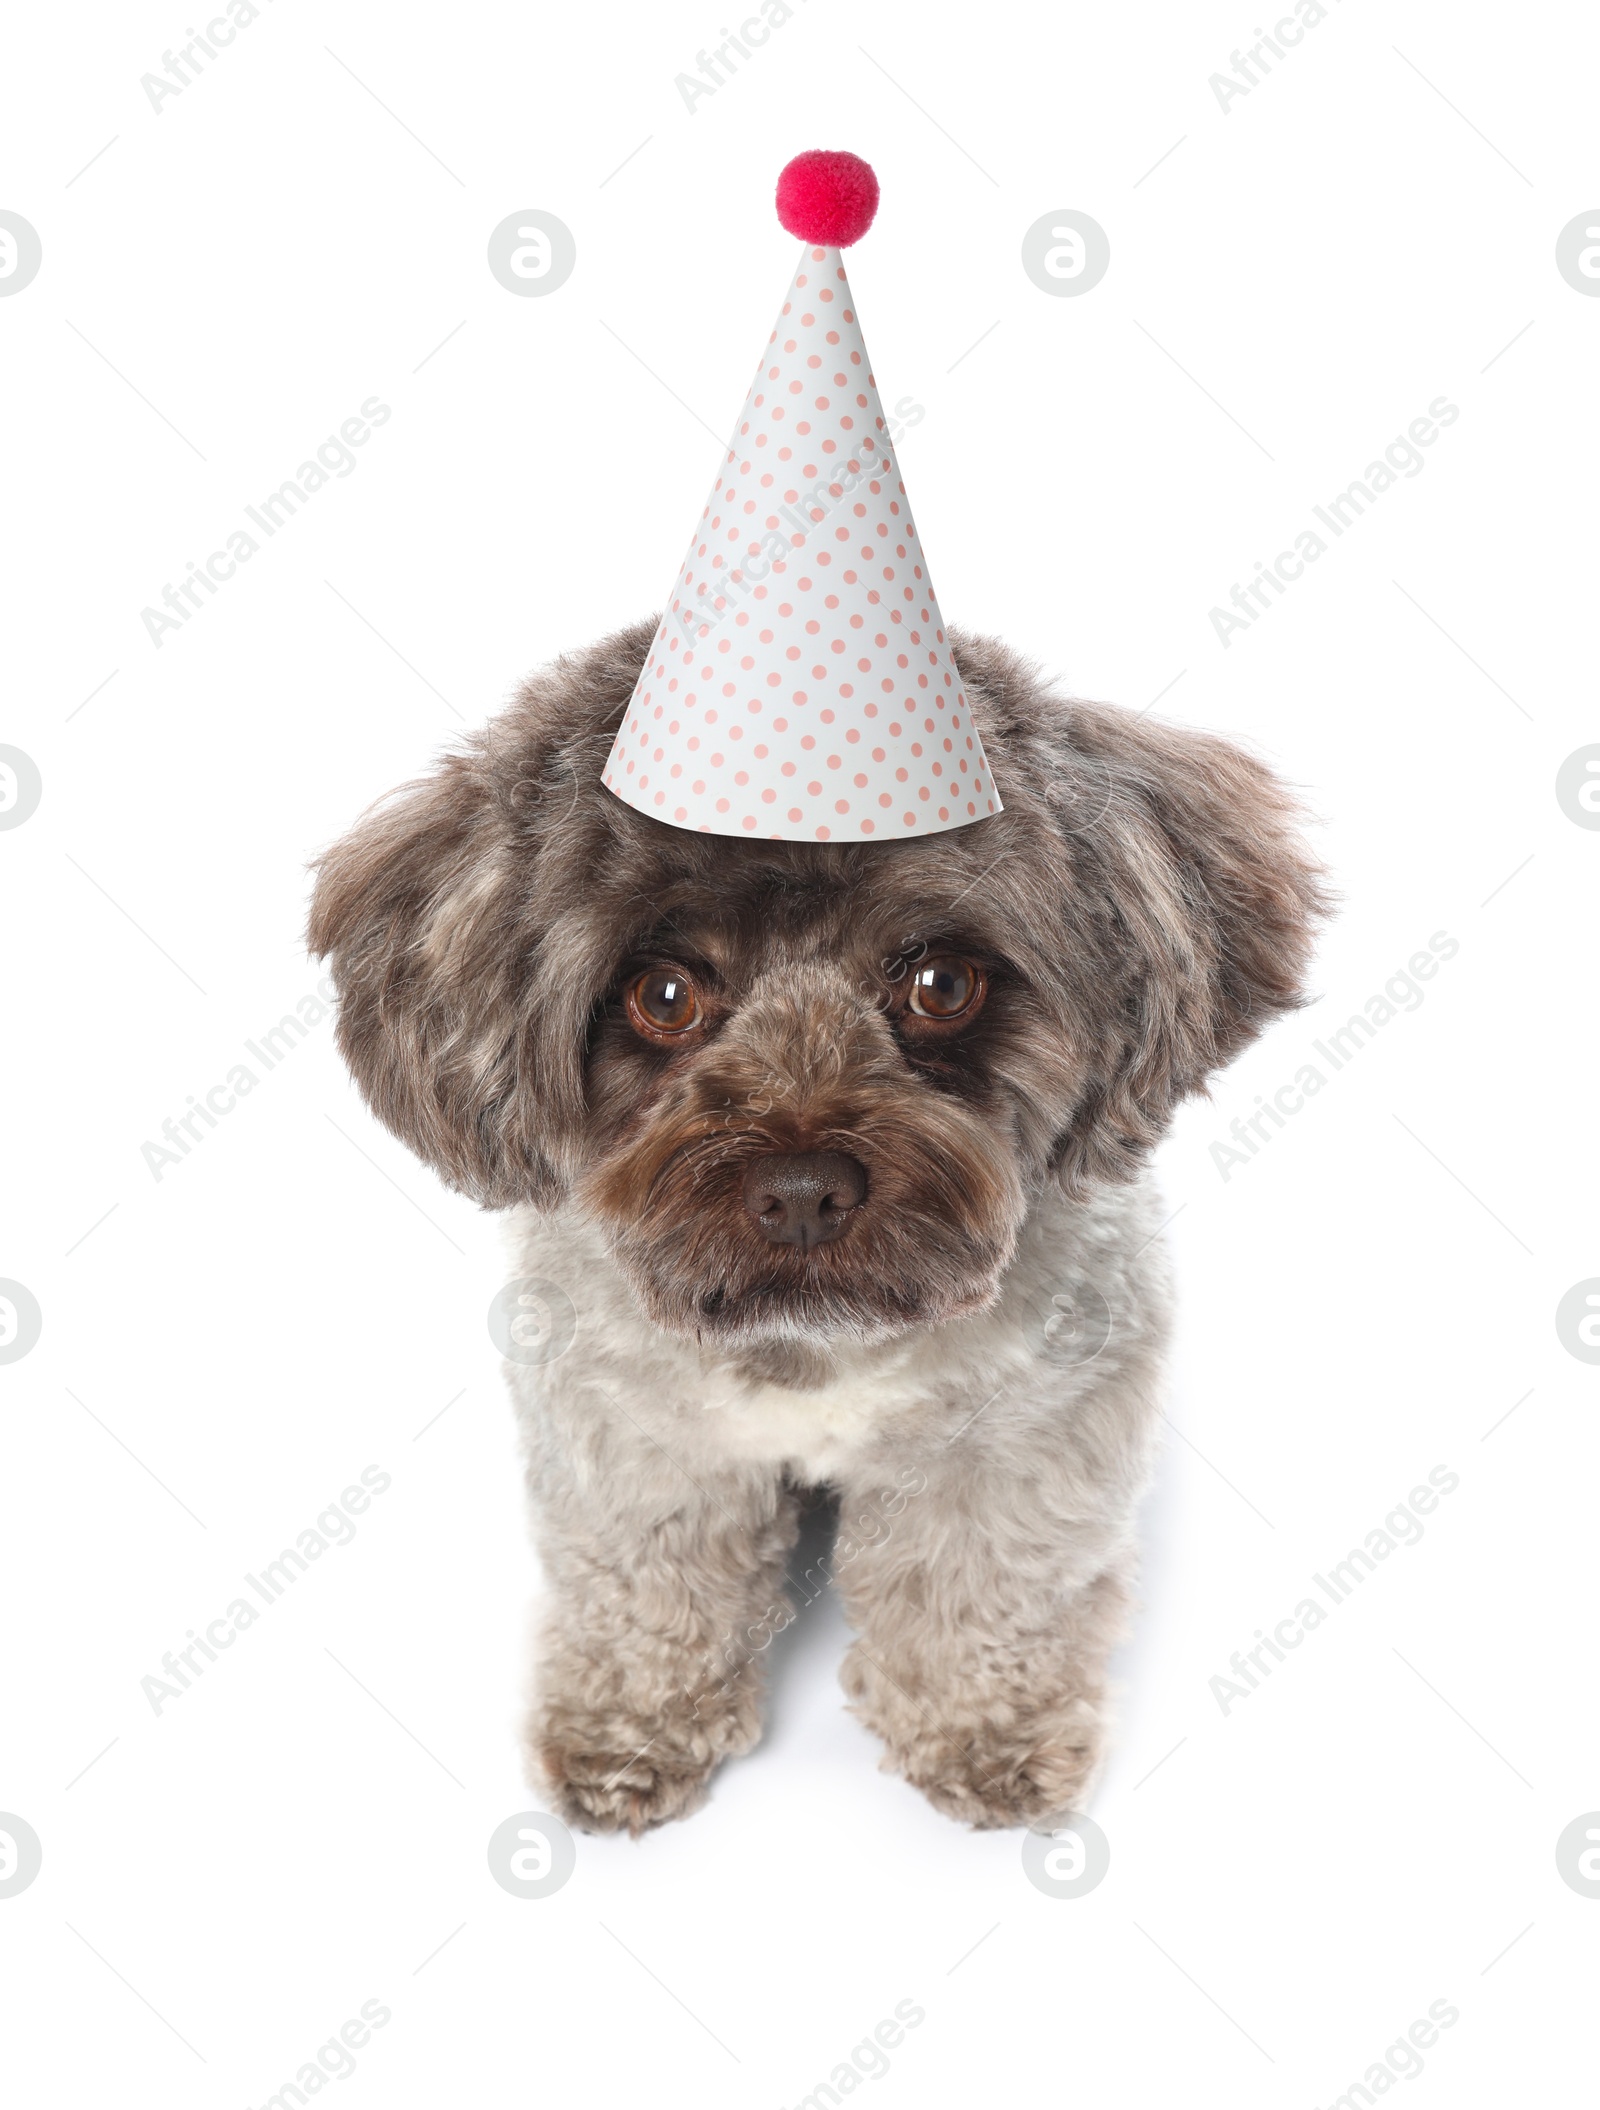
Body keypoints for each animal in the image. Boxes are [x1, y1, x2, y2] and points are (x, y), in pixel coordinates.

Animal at [306, 620, 1325, 1831]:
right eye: (662, 995)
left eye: (939, 981)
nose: (801, 1187)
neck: (817, 1349)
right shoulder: (630, 1434)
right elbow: (645, 1585)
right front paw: (632, 1725)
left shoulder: (1026, 1435)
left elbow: (986, 1586)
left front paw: (981, 1727)